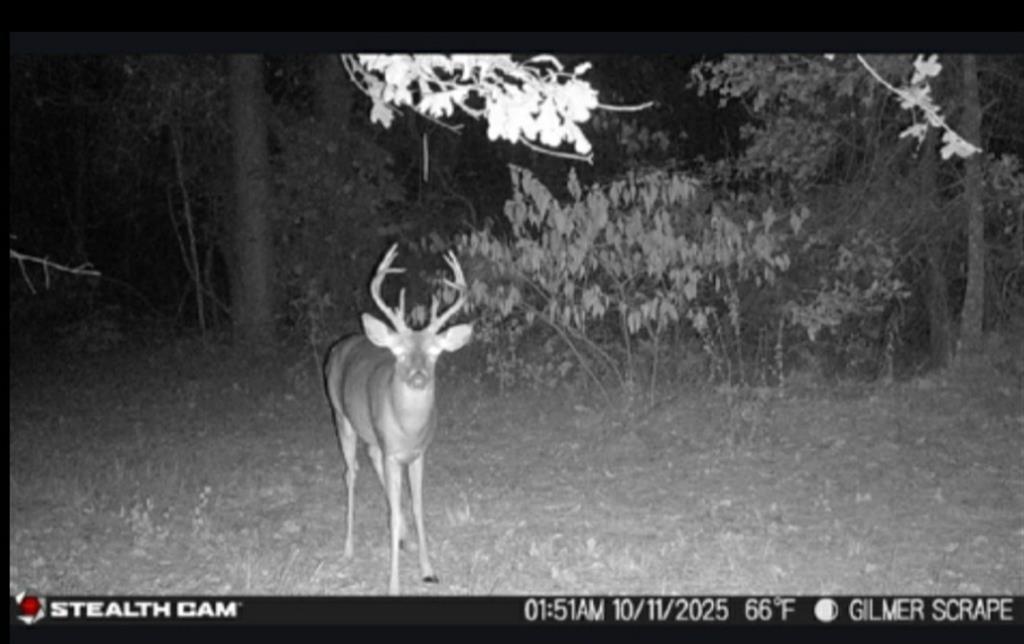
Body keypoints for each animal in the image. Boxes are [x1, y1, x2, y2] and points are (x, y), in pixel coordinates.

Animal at [323, 243, 473, 595]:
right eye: (399, 352)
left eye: (435, 353)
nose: (418, 376)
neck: (408, 429)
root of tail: (341, 344)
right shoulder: (393, 451)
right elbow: (391, 509)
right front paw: (393, 584)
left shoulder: (417, 453)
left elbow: (417, 506)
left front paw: (428, 570)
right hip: (341, 416)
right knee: (350, 473)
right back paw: (348, 549)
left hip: (373, 437)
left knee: (373, 462)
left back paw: (404, 538)